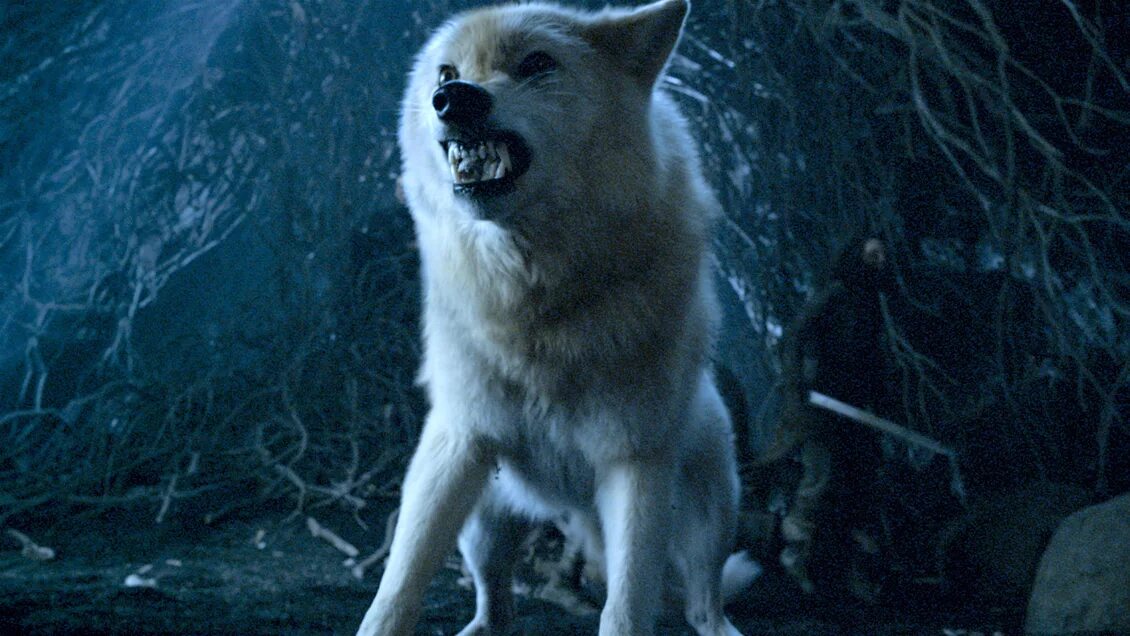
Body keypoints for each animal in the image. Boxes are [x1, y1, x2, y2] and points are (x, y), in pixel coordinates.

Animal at [357, 1, 755, 634]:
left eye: (536, 64)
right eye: (446, 73)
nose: (453, 99)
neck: (539, 302)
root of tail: (571, 508)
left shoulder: (635, 461)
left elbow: (627, 606)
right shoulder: (458, 439)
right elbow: (397, 587)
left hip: (711, 505)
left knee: (702, 599)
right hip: (482, 522)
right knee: (496, 603)